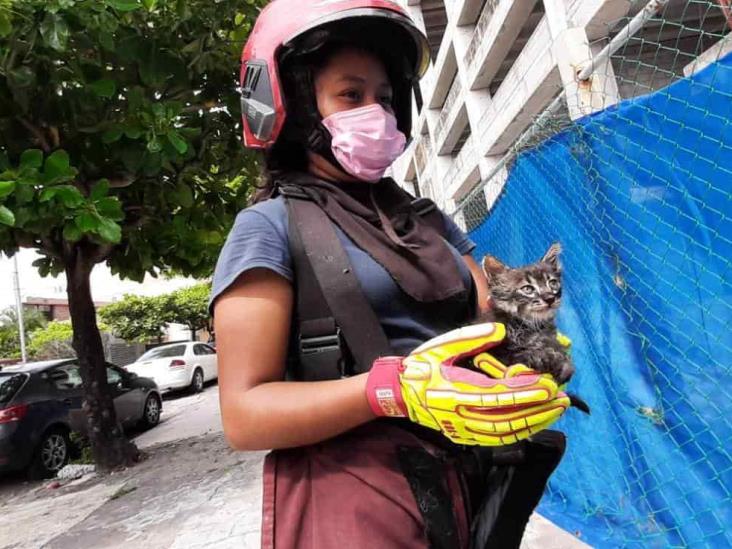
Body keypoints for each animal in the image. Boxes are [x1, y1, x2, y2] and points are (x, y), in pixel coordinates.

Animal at [480, 242, 576, 384]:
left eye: (553, 283)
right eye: (527, 289)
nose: (550, 298)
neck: (529, 324)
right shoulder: (502, 353)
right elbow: (524, 355)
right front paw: (552, 361)